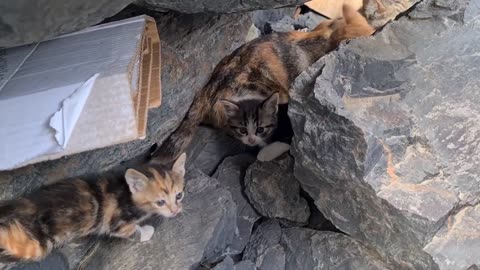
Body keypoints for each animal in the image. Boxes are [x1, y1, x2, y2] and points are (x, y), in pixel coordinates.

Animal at [0, 154, 187, 262]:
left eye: (179, 195)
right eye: (160, 202)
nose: (175, 211)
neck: (127, 194)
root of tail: (28, 203)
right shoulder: (116, 223)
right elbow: (132, 230)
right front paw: (147, 231)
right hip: (38, 243)